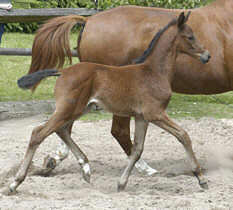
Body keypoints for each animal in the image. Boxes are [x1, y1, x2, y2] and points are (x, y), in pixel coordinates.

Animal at [8, 12, 210, 194]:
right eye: (190, 36)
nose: (207, 55)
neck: (154, 71)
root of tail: (63, 72)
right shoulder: (155, 113)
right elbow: (183, 135)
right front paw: (201, 178)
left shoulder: (141, 117)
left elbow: (137, 149)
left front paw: (121, 184)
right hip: (68, 109)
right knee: (39, 133)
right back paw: (15, 183)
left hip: (79, 109)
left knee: (61, 130)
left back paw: (85, 168)